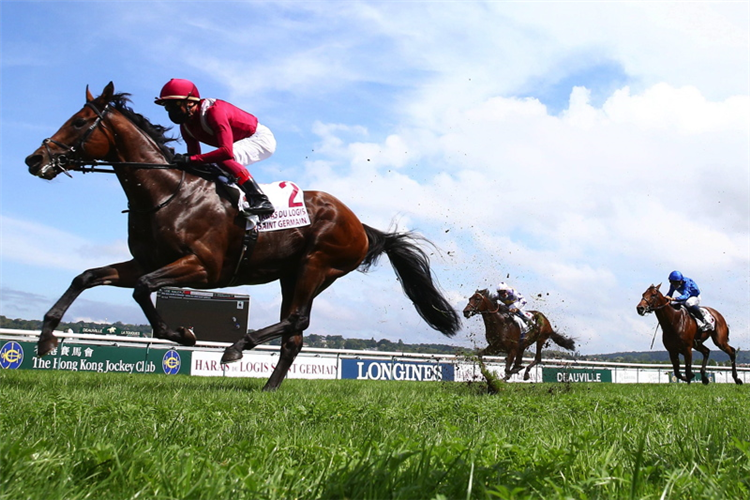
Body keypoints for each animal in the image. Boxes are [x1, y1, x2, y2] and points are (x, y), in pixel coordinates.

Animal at [26, 82, 462, 390]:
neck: (169, 192)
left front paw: (181, 333)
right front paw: (47, 339)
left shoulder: (203, 268)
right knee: (294, 332)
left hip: (316, 265)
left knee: (297, 319)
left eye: (79, 122)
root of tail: (362, 226)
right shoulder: (145, 261)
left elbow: (144, 288)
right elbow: (87, 276)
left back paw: (238, 347)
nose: (35, 158)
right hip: (294, 274)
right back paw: (268, 387)